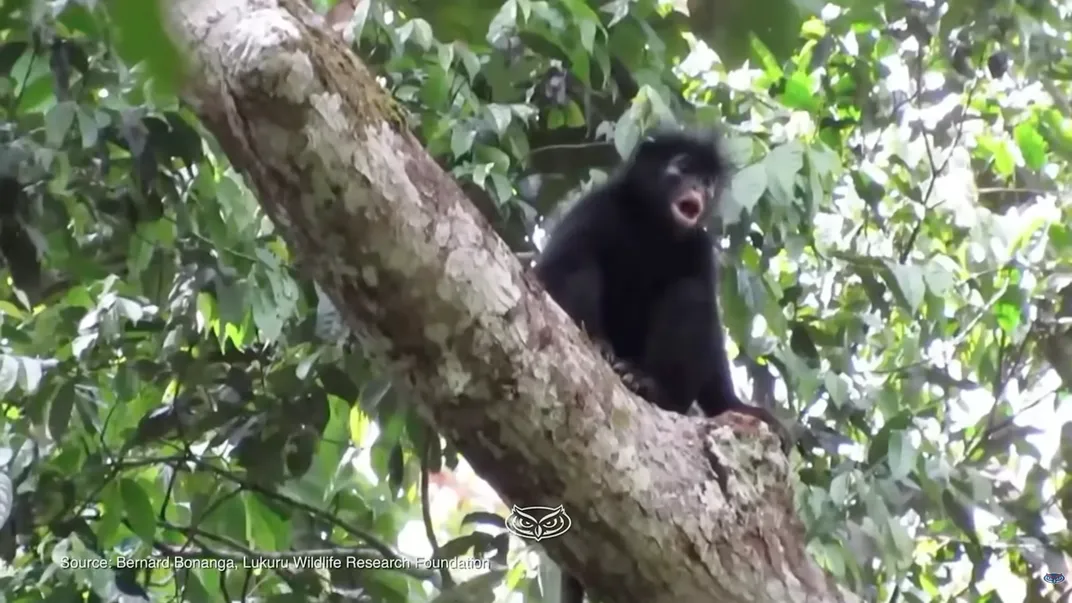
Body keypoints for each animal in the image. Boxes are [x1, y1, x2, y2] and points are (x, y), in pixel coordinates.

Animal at [531, 127, 789, 603]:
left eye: (708, 182)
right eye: (682, 168)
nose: (698, 192)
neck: (653, 227)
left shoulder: (698, 247)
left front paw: (735, 405)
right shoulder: (595, 208)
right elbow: (555, 270)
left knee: (690, 295)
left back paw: (650, 386)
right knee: (583, 264)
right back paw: (603, 350)